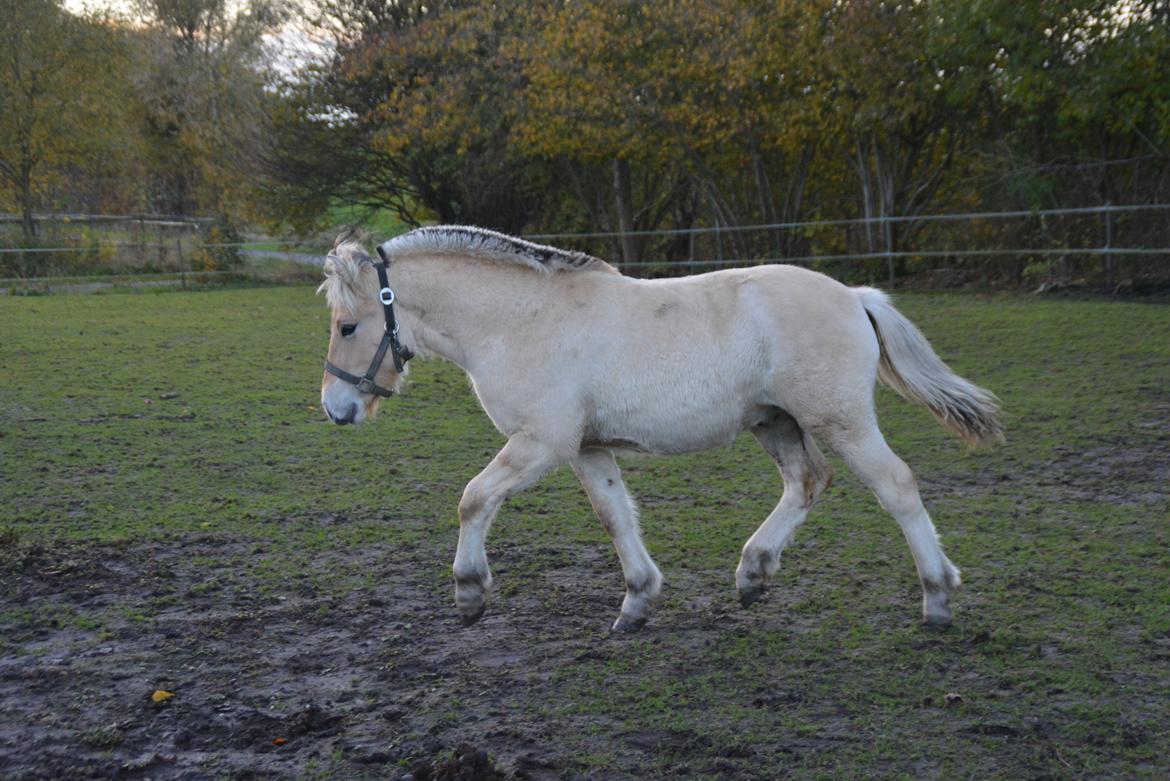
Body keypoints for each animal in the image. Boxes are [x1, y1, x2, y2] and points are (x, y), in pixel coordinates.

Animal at [320, 224, 1006, 626]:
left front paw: (468, 592)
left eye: (349, 325)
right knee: (808, 482)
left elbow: (472, 499)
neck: (518, 320)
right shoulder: (586, 448)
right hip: (776, 422)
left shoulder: (542, 443)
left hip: (840, 420)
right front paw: (638, 600)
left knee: (897, 486)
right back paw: (753, 573)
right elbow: (615, 516)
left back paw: (937, 598)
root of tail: (855, 296)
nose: (335, 408)